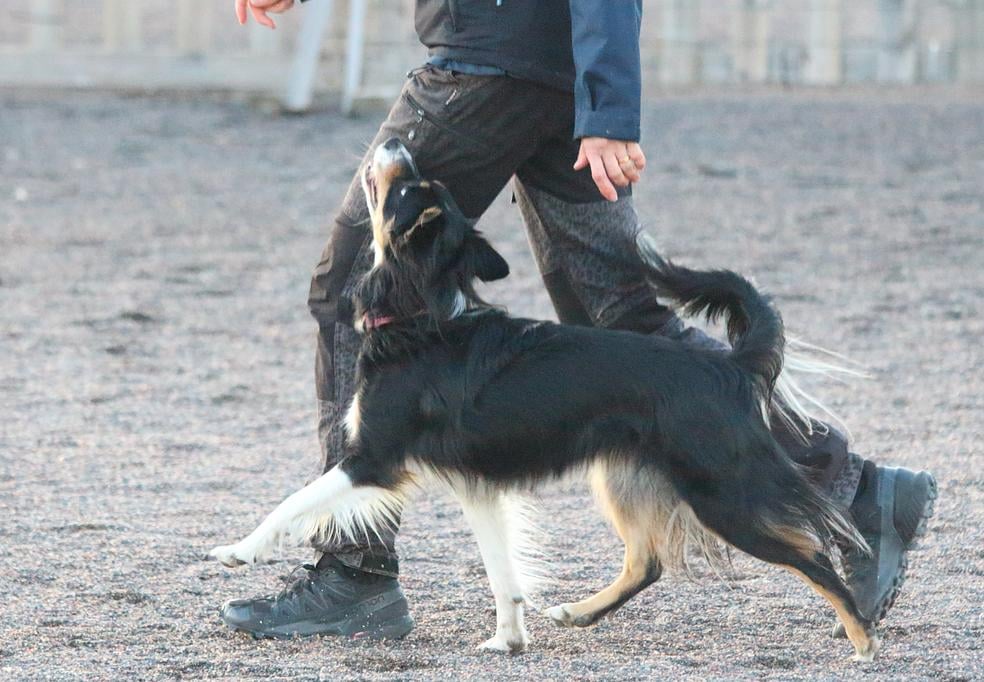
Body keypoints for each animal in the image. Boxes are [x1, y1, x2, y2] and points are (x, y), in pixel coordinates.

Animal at [206, 137, 876, 660]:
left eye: (405, 190)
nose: (398, 142)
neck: (420, 312)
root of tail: (729, 366)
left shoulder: (374, 459)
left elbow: (293, 503)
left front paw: (237, 551)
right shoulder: (477, 485)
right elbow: (502, 572)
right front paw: (510, 639)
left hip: (724, 493)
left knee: (813, 549)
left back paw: (864, 634)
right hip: (622, 475)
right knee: (648, 562)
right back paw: (577, 613)